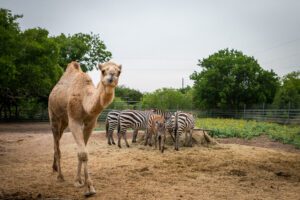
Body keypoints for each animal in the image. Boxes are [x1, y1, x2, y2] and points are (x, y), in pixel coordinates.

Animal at [48, 60, 120, 196]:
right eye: (103, 71)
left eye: (119, 71)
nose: (111, 78)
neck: (85, 99)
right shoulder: (74, 121)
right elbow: (83, 153)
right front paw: (88, 188)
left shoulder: (90, 123)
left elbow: (82, 151)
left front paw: (79, 180)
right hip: (53, 116)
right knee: (56, 142)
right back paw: (60, 176)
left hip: (64, 121)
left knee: (57, 141)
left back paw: (54, 168)